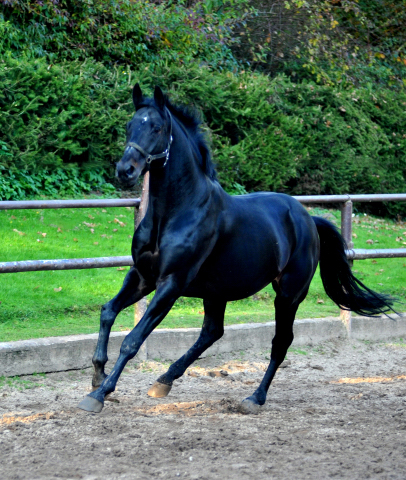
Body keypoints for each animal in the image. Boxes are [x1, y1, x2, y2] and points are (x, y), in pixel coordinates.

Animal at [77, 85, 394, 412]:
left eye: (157, 127)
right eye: (130, 125)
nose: (125, 170)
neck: (175, 213)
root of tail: (308, 219)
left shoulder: (171, 283)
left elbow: (133, 340)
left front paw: (99, 394)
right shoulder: (142, 276)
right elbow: (108, 311)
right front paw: (97, 376)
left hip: (288, 295)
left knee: (280, 343)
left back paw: (254, 398)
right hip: (217, 291)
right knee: (212, 332)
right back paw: (163, 381)